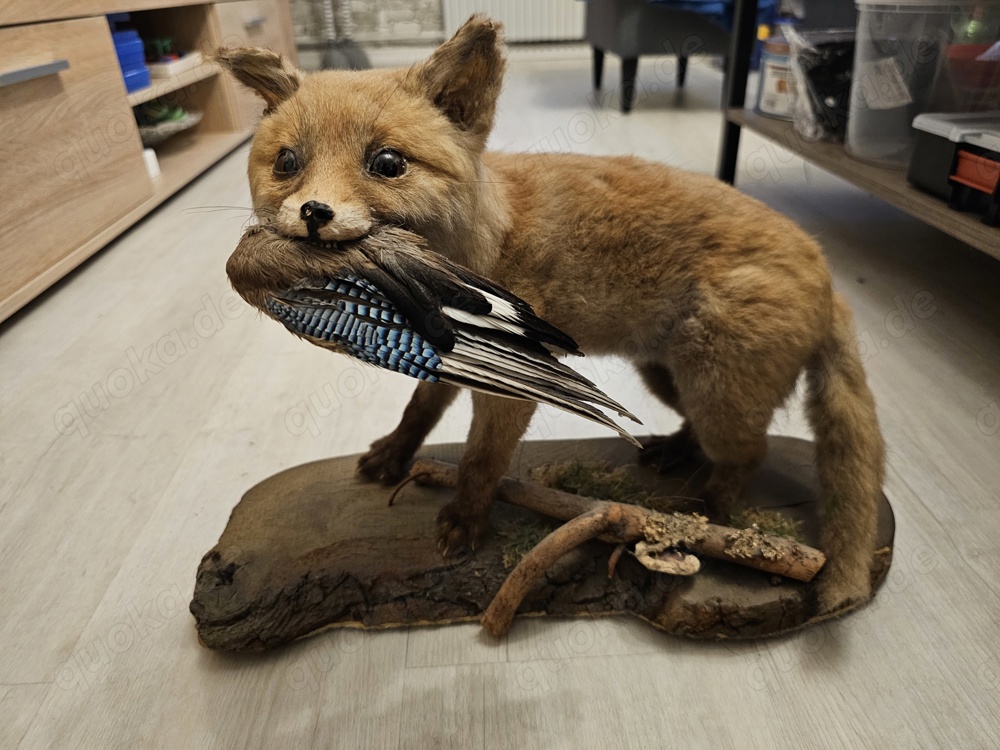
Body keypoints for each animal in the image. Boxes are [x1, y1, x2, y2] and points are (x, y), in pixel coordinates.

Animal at [218, 16, 886, 613]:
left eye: (386, 163)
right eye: (286, 162)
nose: (313, 213)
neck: (488, 239)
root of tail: (826, 272)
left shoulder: (511, 384)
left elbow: (481, 461)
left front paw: (464, 523)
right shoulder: (442, 348)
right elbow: (419, 410)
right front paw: (392, 457)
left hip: (716, 388)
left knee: (751, 454)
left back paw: (700, 509)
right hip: (668, 377)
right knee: (713, 435)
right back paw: (674, 452)